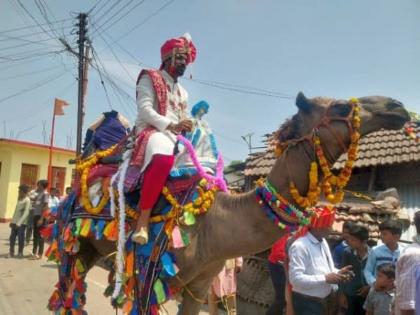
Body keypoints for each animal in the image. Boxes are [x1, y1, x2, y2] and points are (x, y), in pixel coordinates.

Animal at [45, 92, 406, 314]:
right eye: (342, 107)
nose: (397, 107)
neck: (215, 221)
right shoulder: (150, 278)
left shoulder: (199, 285)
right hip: (71, 244)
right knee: (66, 294)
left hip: (92, 248)